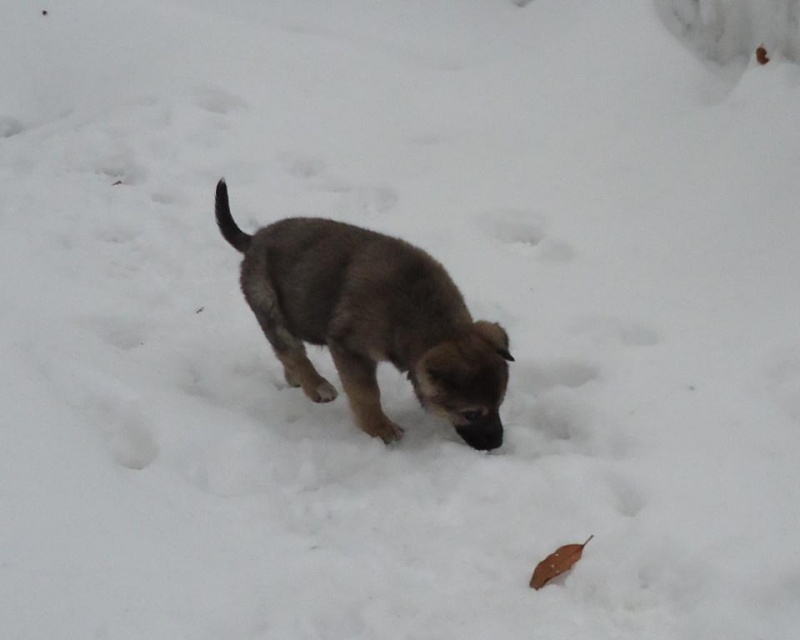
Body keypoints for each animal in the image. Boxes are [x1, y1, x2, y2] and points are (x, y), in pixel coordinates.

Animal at [215, 179, 513, 450]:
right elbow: (366, 393)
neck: (426, 317)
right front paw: (379, 428)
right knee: (290, 351)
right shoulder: (349, 348)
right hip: (268, 303)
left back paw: (296, 380)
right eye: (471, 414)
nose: (497, 443)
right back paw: (316, 385)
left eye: (500, 403)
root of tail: (253, 239)